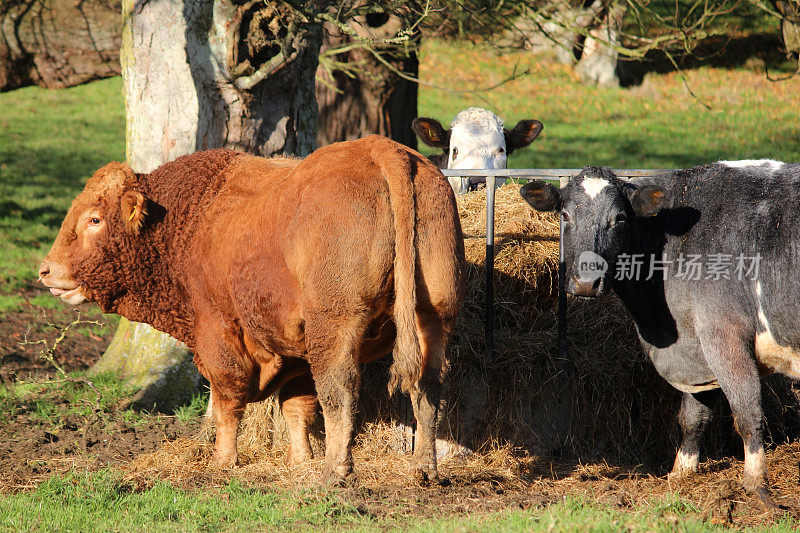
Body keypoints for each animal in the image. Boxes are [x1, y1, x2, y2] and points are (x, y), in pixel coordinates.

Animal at [520, 158, 800, 508]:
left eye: (620, 218)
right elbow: (693, 417)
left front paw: (757, 485)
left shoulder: (723, 333)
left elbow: (747, 410)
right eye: (565, 215)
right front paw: (680, 475)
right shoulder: (696, 352)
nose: (586, 282)